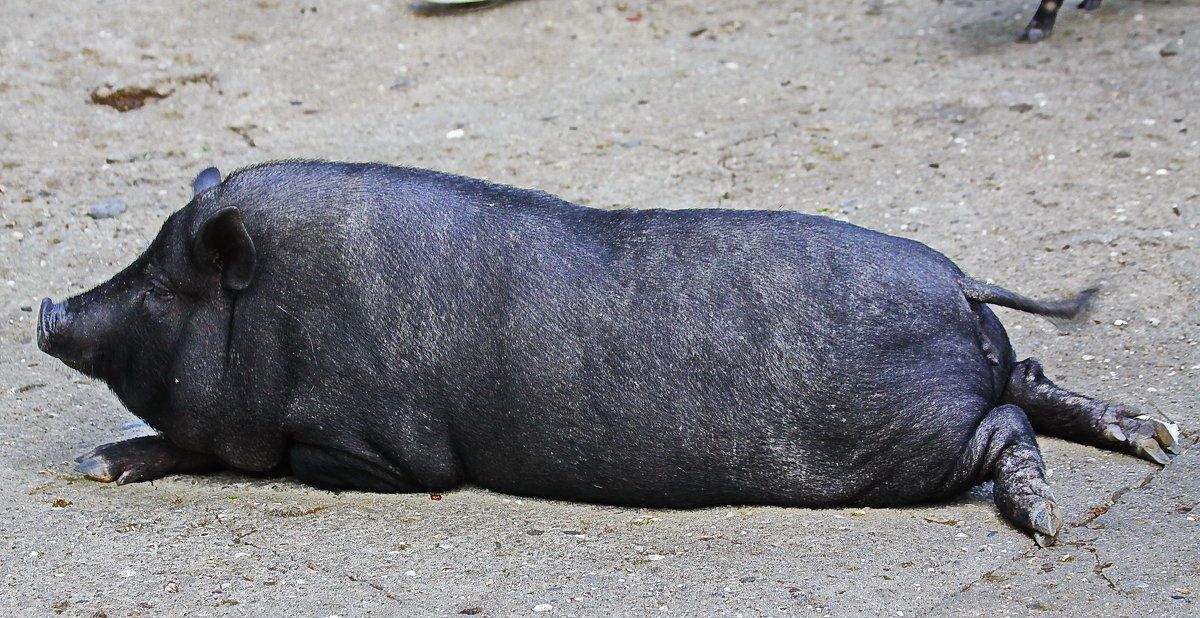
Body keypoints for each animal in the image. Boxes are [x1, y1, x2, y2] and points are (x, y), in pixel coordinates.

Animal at [32, 160, 1176, 547]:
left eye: (157, 287)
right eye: (142, 260)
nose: (45, 306)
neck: (279, 312)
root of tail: (959, 282)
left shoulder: (386, 450)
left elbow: (246, 450)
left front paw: (99, 459)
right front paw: (98, 459)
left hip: (913, 439)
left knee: (1010, 421)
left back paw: (1051, 526)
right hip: (970, 381)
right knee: (1035, 383)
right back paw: (1161, 435)